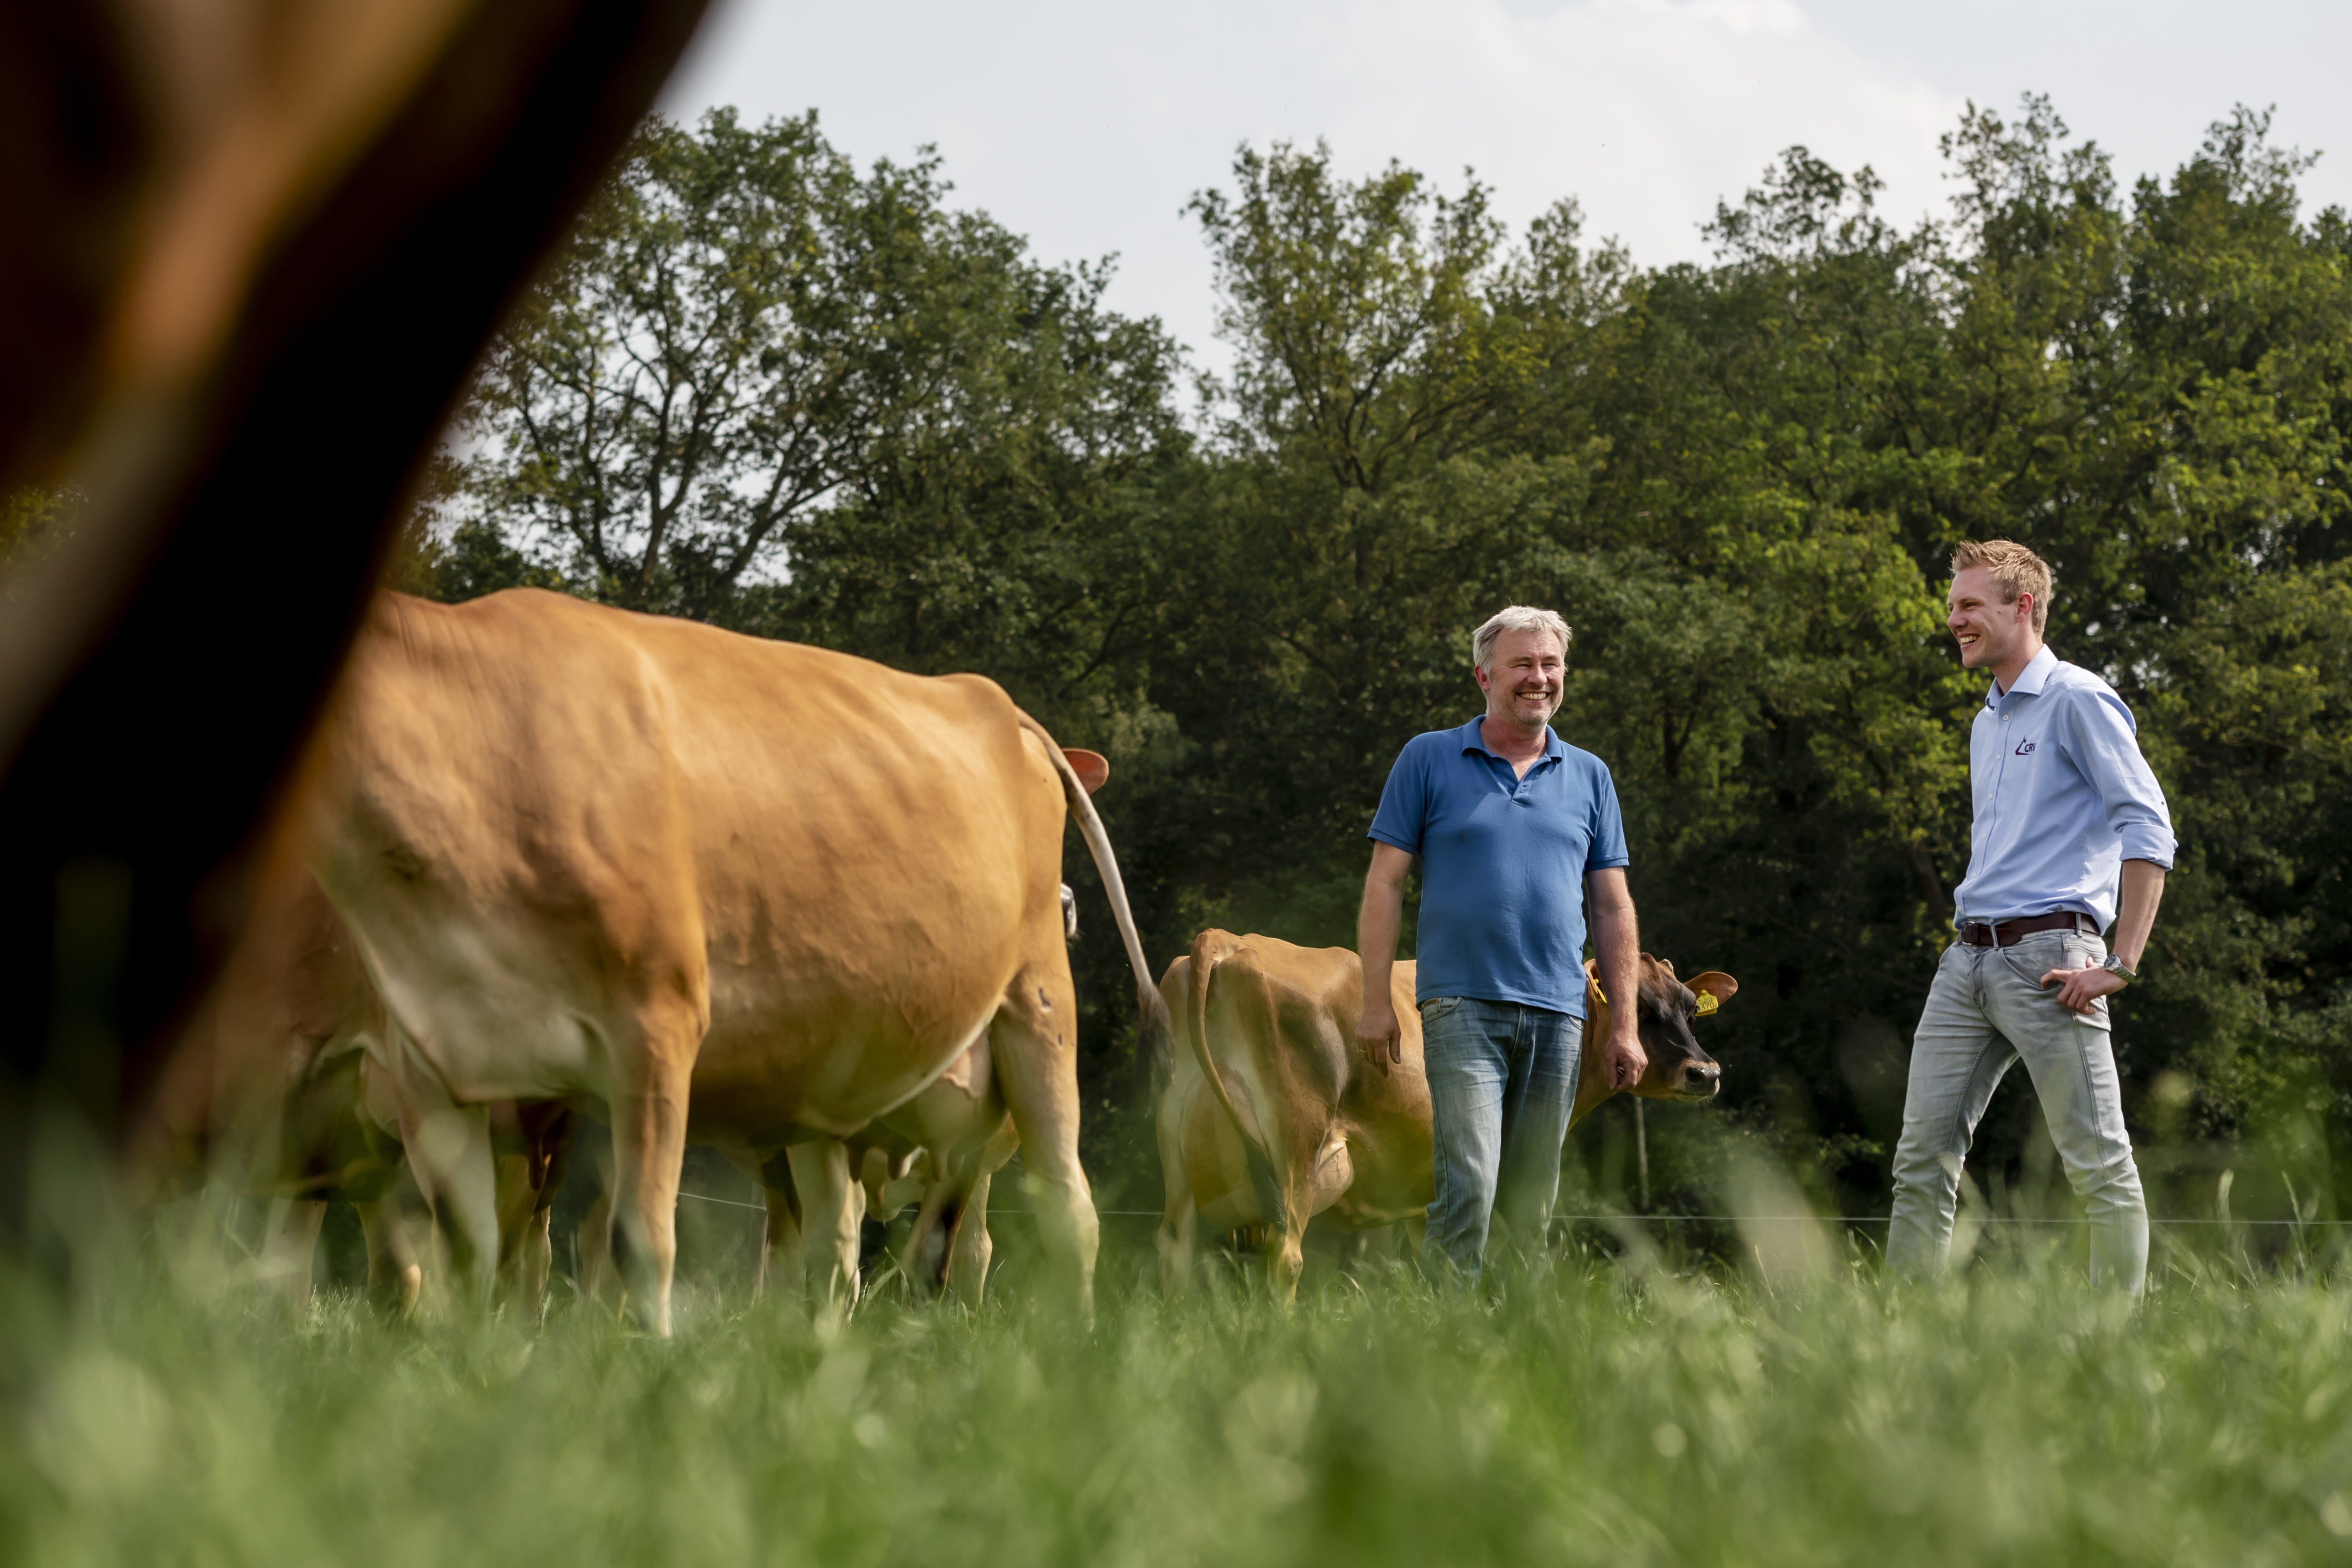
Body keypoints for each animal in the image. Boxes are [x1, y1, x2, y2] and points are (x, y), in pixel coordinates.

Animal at [303, 587, 1166, 1335]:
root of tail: (997, 702)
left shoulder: (655, 1026)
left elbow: (641, 1238)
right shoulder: (431, 1062)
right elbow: (472, 1248)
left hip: (1033, 1014)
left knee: (1062, 1208)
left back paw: (1072, 1339)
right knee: (861, 1250)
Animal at [1157, 931, 1731, 1297]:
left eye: (1689, 1006)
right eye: (1636, 1005)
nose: (1704, 1071)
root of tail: (1230, 940)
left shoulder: (1417, 1189)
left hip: (1177, 1148)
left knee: (1176, 1250)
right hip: (1296, 1143)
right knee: (1286, 1255)